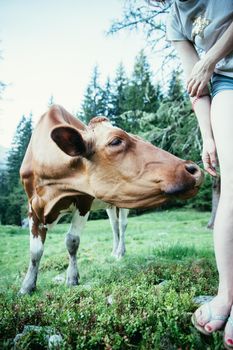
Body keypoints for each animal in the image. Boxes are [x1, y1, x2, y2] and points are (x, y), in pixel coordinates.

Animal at [19, 105, 202, 294]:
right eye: (115, 141)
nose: (193, 169)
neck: (54, 191)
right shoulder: (33, 206)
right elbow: (35, 250)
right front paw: (27, 286)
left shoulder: (84, 201)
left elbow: (72, 241)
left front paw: (72, 278)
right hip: (110, 204)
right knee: (114, 226)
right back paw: (115, 252)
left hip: (122, 203)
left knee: (122, 225)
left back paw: (121, 252)